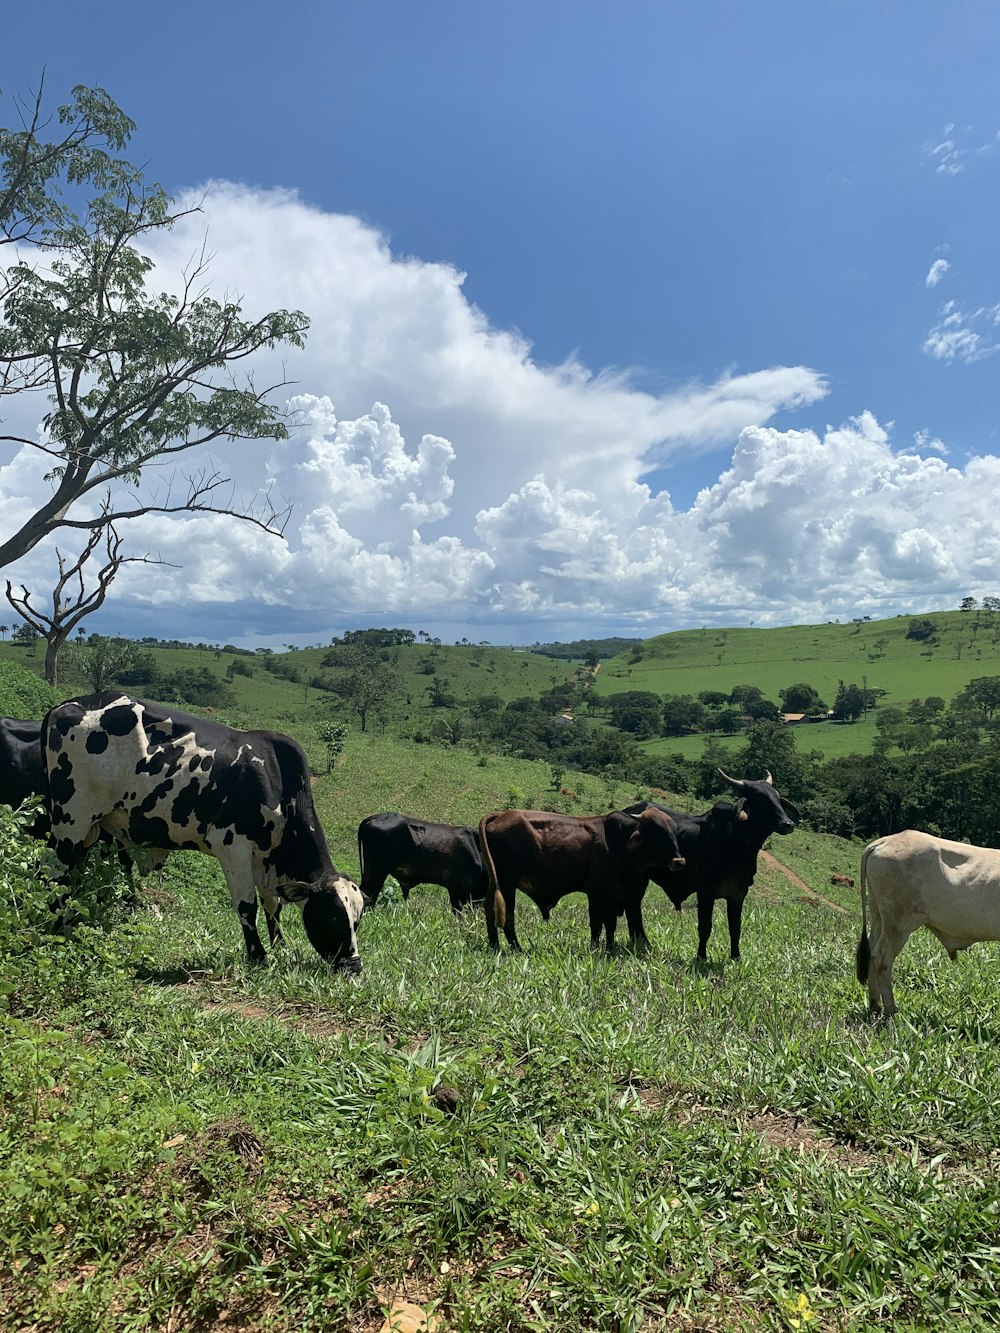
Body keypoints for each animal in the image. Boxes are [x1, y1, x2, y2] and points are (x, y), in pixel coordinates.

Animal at [480, 805, 688, 954]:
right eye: (657, 832)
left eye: (673, 831)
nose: (679, 861)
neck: (620, 845)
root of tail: (501, 815)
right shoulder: (597, 894)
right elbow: (598, 924)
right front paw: (596, 949)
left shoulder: (624, 898)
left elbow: (616, 925)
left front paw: (613, 948)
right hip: (507, 884)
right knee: (507, 915)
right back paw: (516, 948)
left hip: (495, 882)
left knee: (489, 908)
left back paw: (494, 945)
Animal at [626, 767, 800, 965]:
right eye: (760, 799)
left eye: (777, 798)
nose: (788, 824)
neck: (737, 846)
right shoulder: (705, 893)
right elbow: (705, 927)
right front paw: (701, 957)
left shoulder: (738, 894)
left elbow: (735, 928)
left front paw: (736, 957)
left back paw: (641, 942)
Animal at [858, 826, 1000, 1013]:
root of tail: (886, 840)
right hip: (898, 924)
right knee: (882, 958)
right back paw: (892, 1010)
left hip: (880, 918)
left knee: (871, 950)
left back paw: (876, 1005)